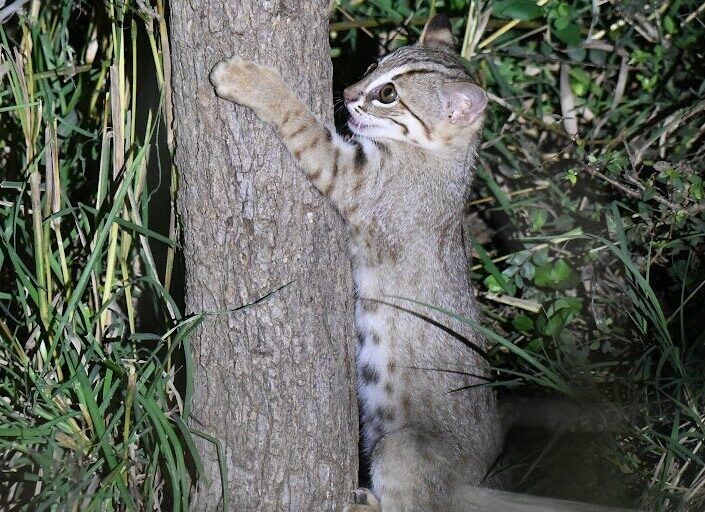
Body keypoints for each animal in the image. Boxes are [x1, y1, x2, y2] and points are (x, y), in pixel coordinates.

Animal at [209, 14, 500, 510]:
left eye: (388, 94)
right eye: (372, 64)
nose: (346, 92)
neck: (444, 156)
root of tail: (478, 483)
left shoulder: (352, 175)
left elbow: (299, 118)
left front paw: (250, 80)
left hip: (398, 446)